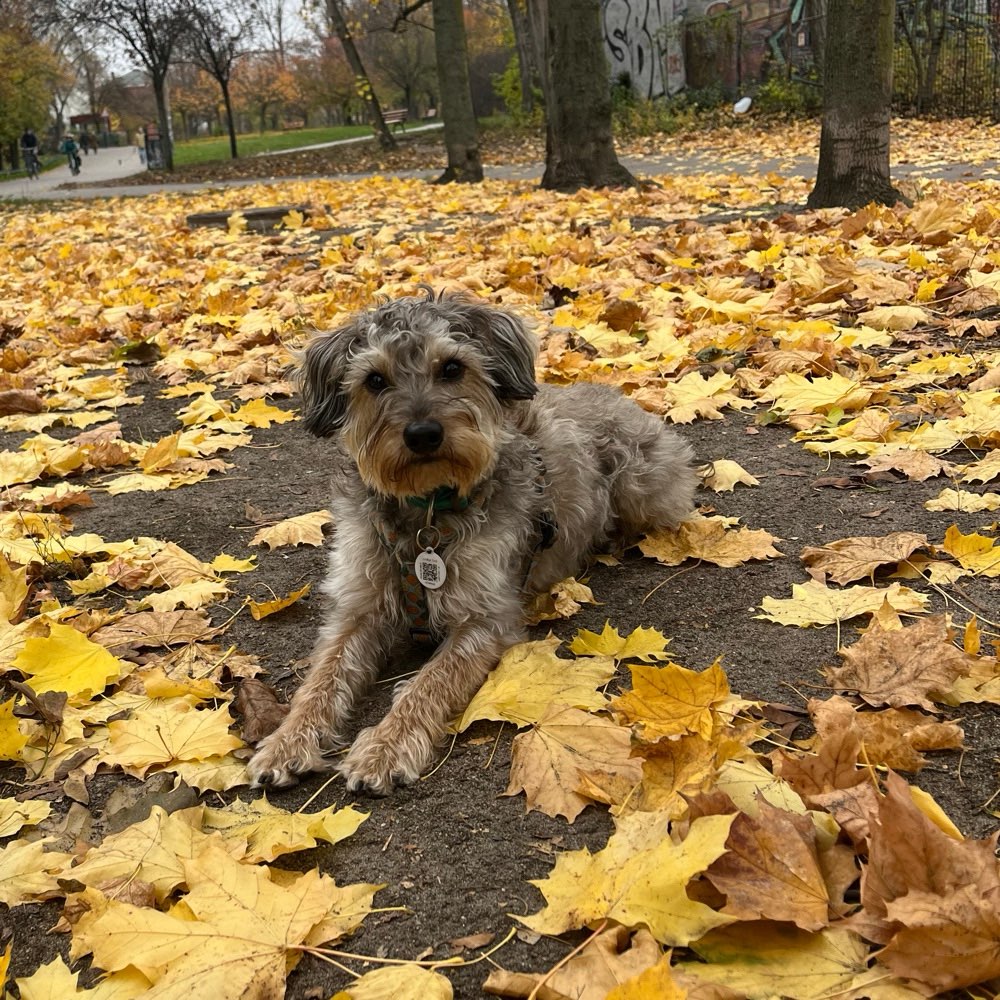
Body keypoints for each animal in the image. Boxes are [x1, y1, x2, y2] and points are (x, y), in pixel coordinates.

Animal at [247, 292, 700, 796]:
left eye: (451, 368)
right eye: (374, 380)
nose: (423, 434)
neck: (425, 513)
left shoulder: (485, 616)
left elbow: (429, 681)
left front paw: (385, 747)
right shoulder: (357, 605)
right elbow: (322, 678)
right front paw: (286, 742)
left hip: (642, 485)